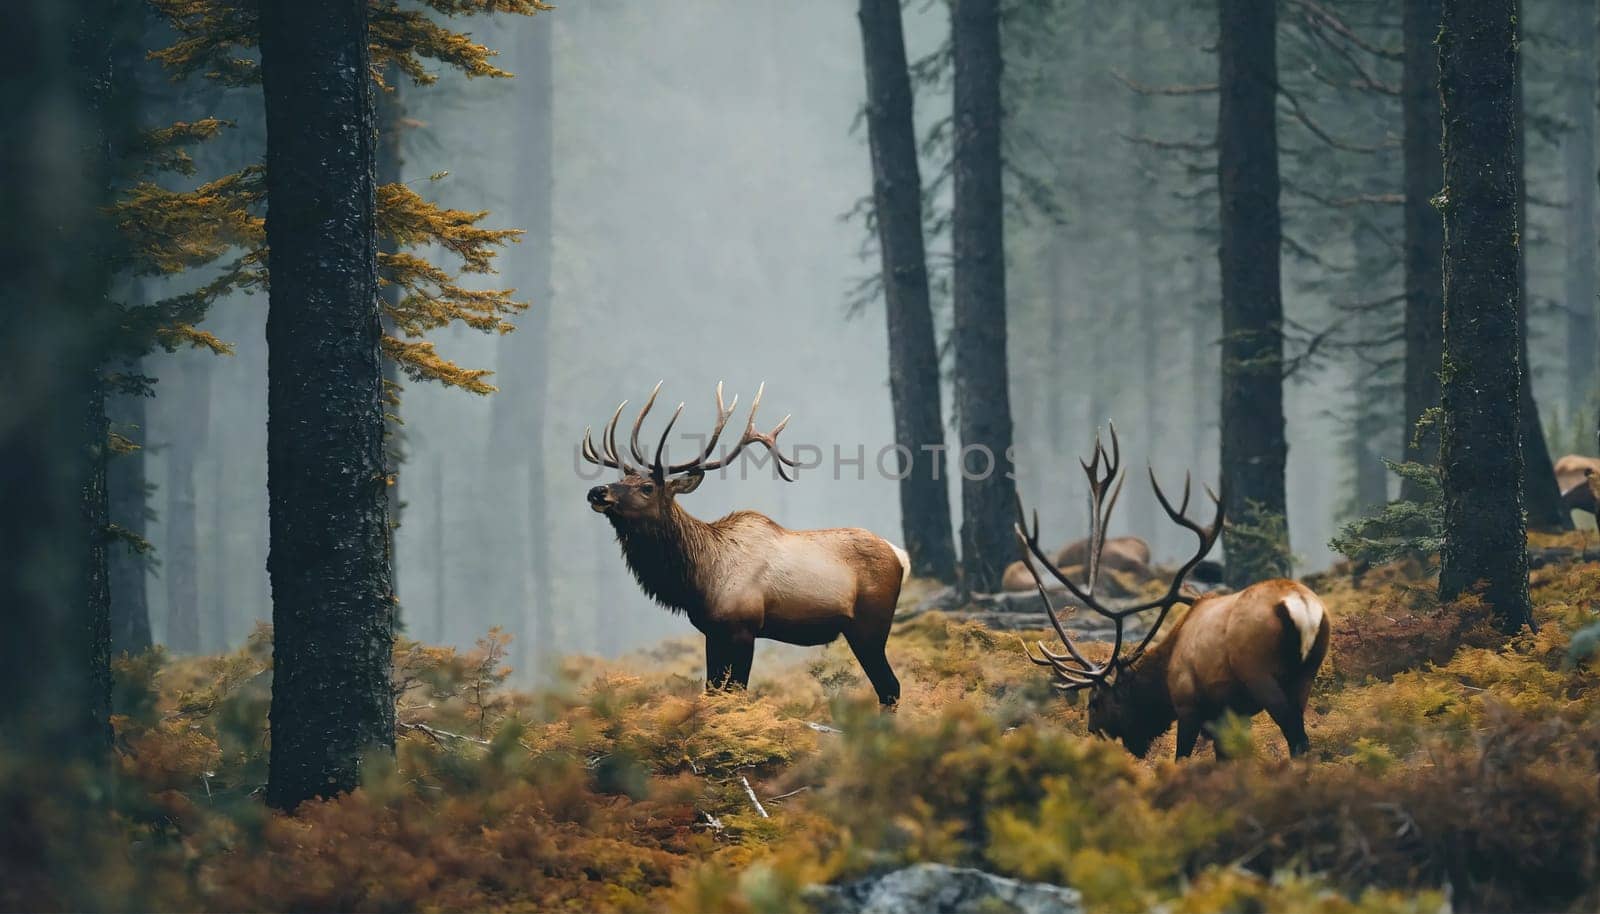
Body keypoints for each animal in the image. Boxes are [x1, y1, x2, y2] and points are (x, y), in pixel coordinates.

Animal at [585, 382, 915, 704]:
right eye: (621, 480)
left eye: (646, 487)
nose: (597, 491)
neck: (699, 578)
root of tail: (901, 556)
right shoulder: (712, 631)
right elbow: (713, 693)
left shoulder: (743, 628)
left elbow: (737, 695)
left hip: (869, 625)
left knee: (890, 687)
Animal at [1017, 428, 1331, 758]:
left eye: (1095, 701)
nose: (1092, 732)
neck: (1165, 678)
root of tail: (1300, 606)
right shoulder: (1231, 714)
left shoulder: (1189, 704)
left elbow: (1182, 757)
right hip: (1308, 672)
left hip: (1260, 672)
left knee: (1296, 737)